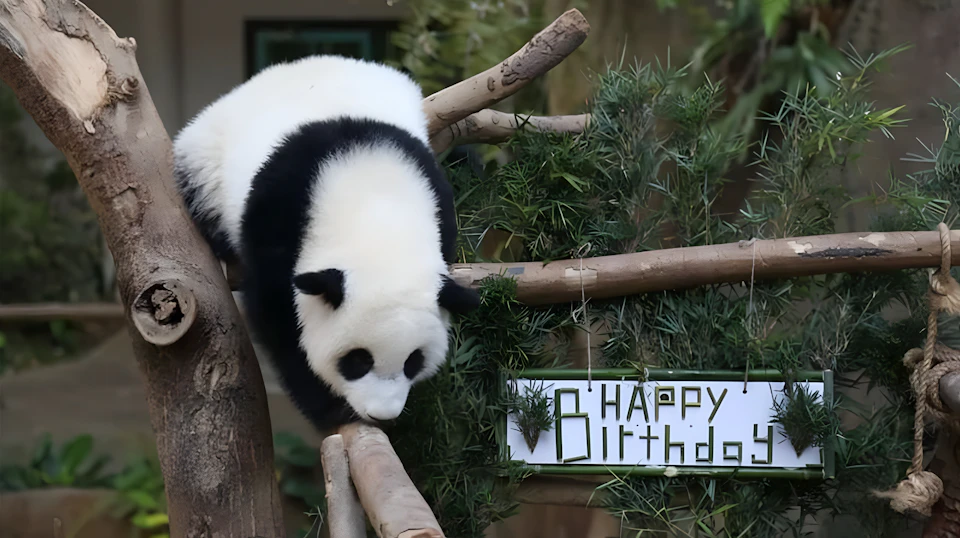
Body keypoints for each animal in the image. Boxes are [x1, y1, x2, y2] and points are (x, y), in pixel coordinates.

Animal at [171, 55, 481, 431]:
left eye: (413, 362)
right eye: (358, 360)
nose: (382, 414)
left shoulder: (437, 200)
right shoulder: (280, 212)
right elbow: (278, 316)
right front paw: (328, 407)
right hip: (206, 162)